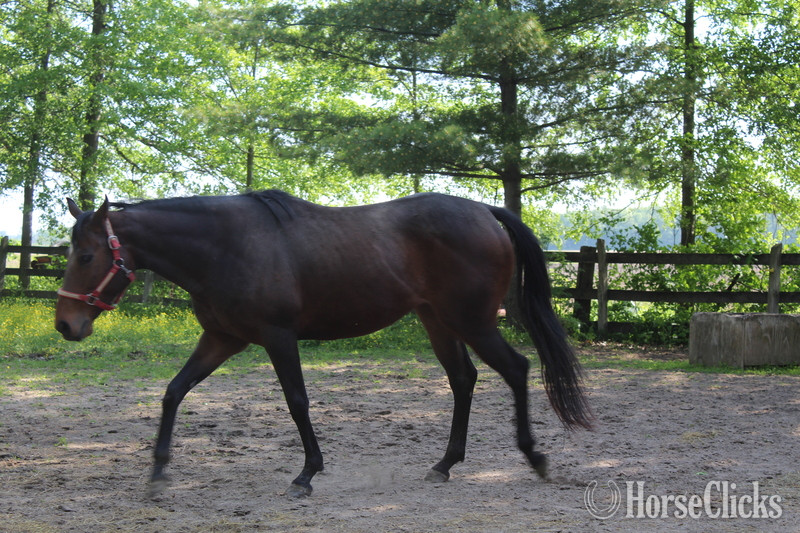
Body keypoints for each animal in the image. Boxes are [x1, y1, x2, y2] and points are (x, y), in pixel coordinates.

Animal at [54, 190, 591, 498]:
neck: (227, 246)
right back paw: (443, 465)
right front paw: (159, 471)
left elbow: (297, 402)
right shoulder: (222, 338)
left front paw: (307, 474)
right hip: (438, 321)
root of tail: (484, 210)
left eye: (86, 255)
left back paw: (534, 457)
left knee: (516, 369)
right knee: (464, 380)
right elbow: (173, 392)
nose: (65, 325)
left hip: (472, 321)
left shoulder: (278, 337)